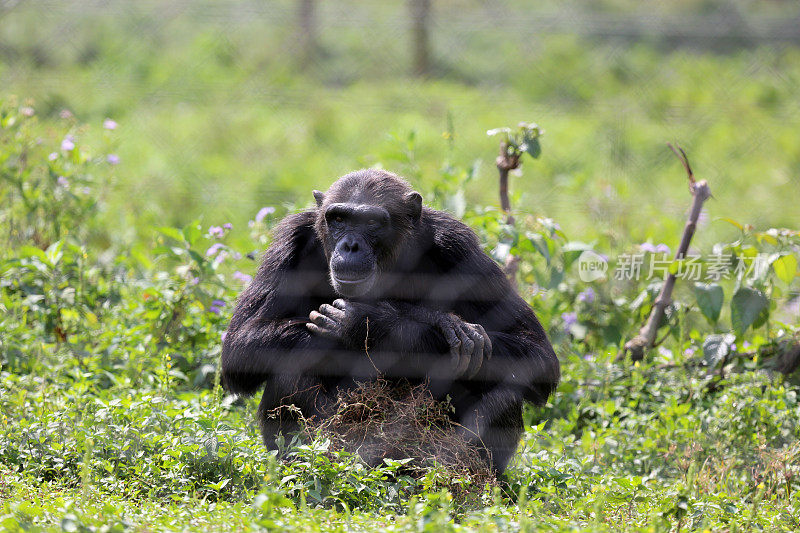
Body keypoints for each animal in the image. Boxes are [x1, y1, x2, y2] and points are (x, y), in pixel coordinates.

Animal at [217, 167, 556, 470]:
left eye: (371, 222)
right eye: (338, 219)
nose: (350, 245)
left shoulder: (461, 246)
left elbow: (534, 350)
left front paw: (370, 322)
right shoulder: (290, 239)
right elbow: (243, 342)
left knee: (500, 380)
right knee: (290, 366)